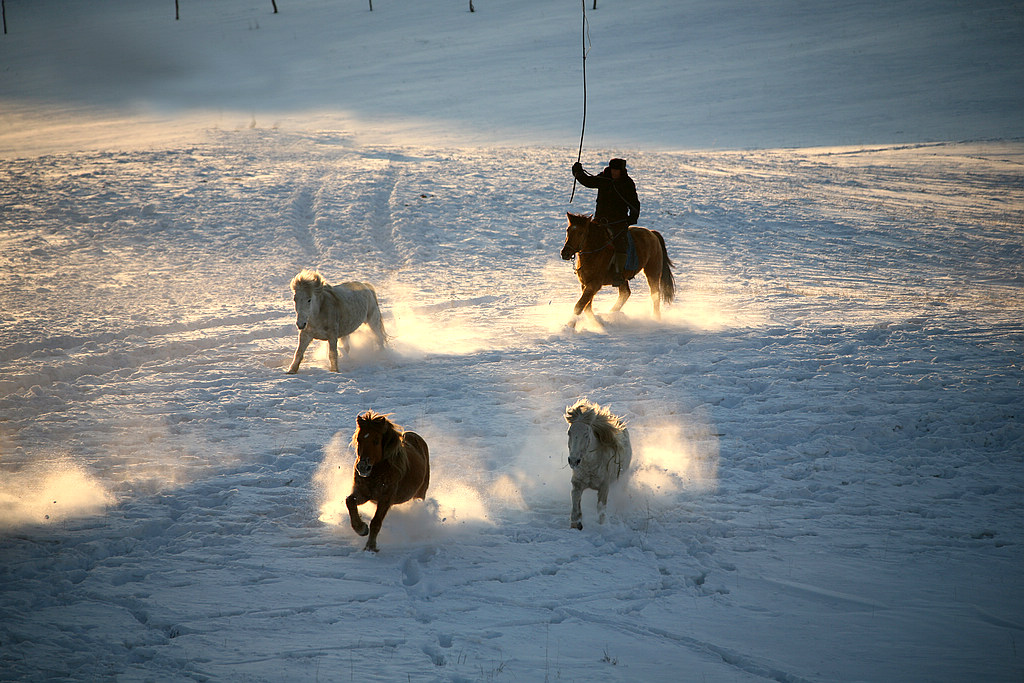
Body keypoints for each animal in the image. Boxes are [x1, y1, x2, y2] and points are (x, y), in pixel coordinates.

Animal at [346, 411, 430, 548]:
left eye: (376, 441)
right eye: (359, 439)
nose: (362, 467)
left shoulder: (385, 499)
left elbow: (376, 522)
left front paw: (370, 546)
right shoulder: (364, 494)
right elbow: (349, 501)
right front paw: (361, 529)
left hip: (420, 494)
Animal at [561, 397, 630, 532]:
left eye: (586, 433)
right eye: (569, 432)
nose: (574, 461)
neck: (590, 467)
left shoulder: (604, 486)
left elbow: (601, 509)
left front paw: (601, 526)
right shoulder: (577, 484)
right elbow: (575, 503)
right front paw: (576, 524)